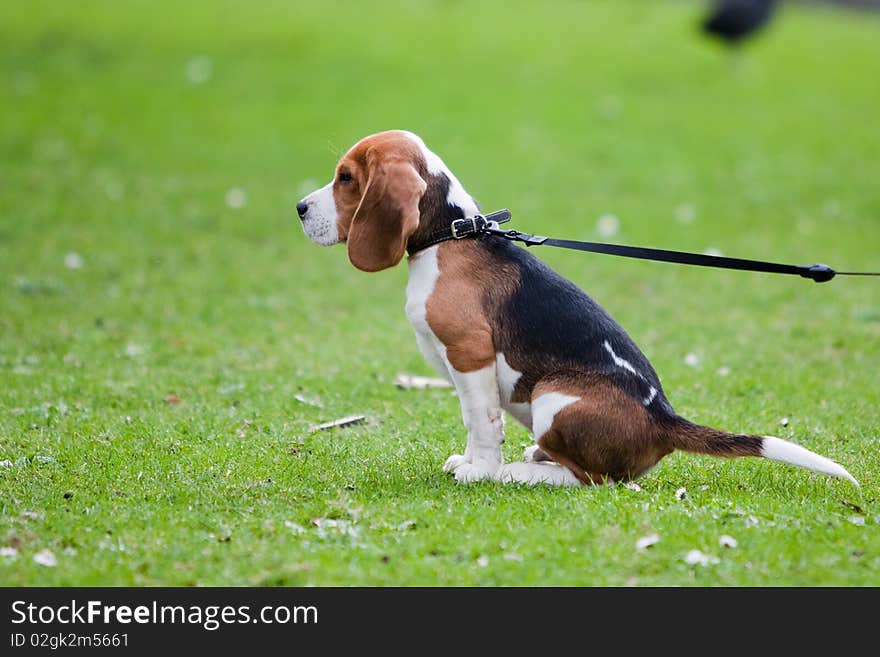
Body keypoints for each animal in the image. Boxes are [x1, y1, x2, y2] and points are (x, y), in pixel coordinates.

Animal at [294, 129, 852, 486]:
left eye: (346, 178)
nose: (298, 208)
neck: (449, 235)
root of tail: (665, 421)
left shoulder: (470, 355)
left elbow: (481, 422)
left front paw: (481, 470)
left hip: (552, 396)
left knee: (593, 480)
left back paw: (519, 473)